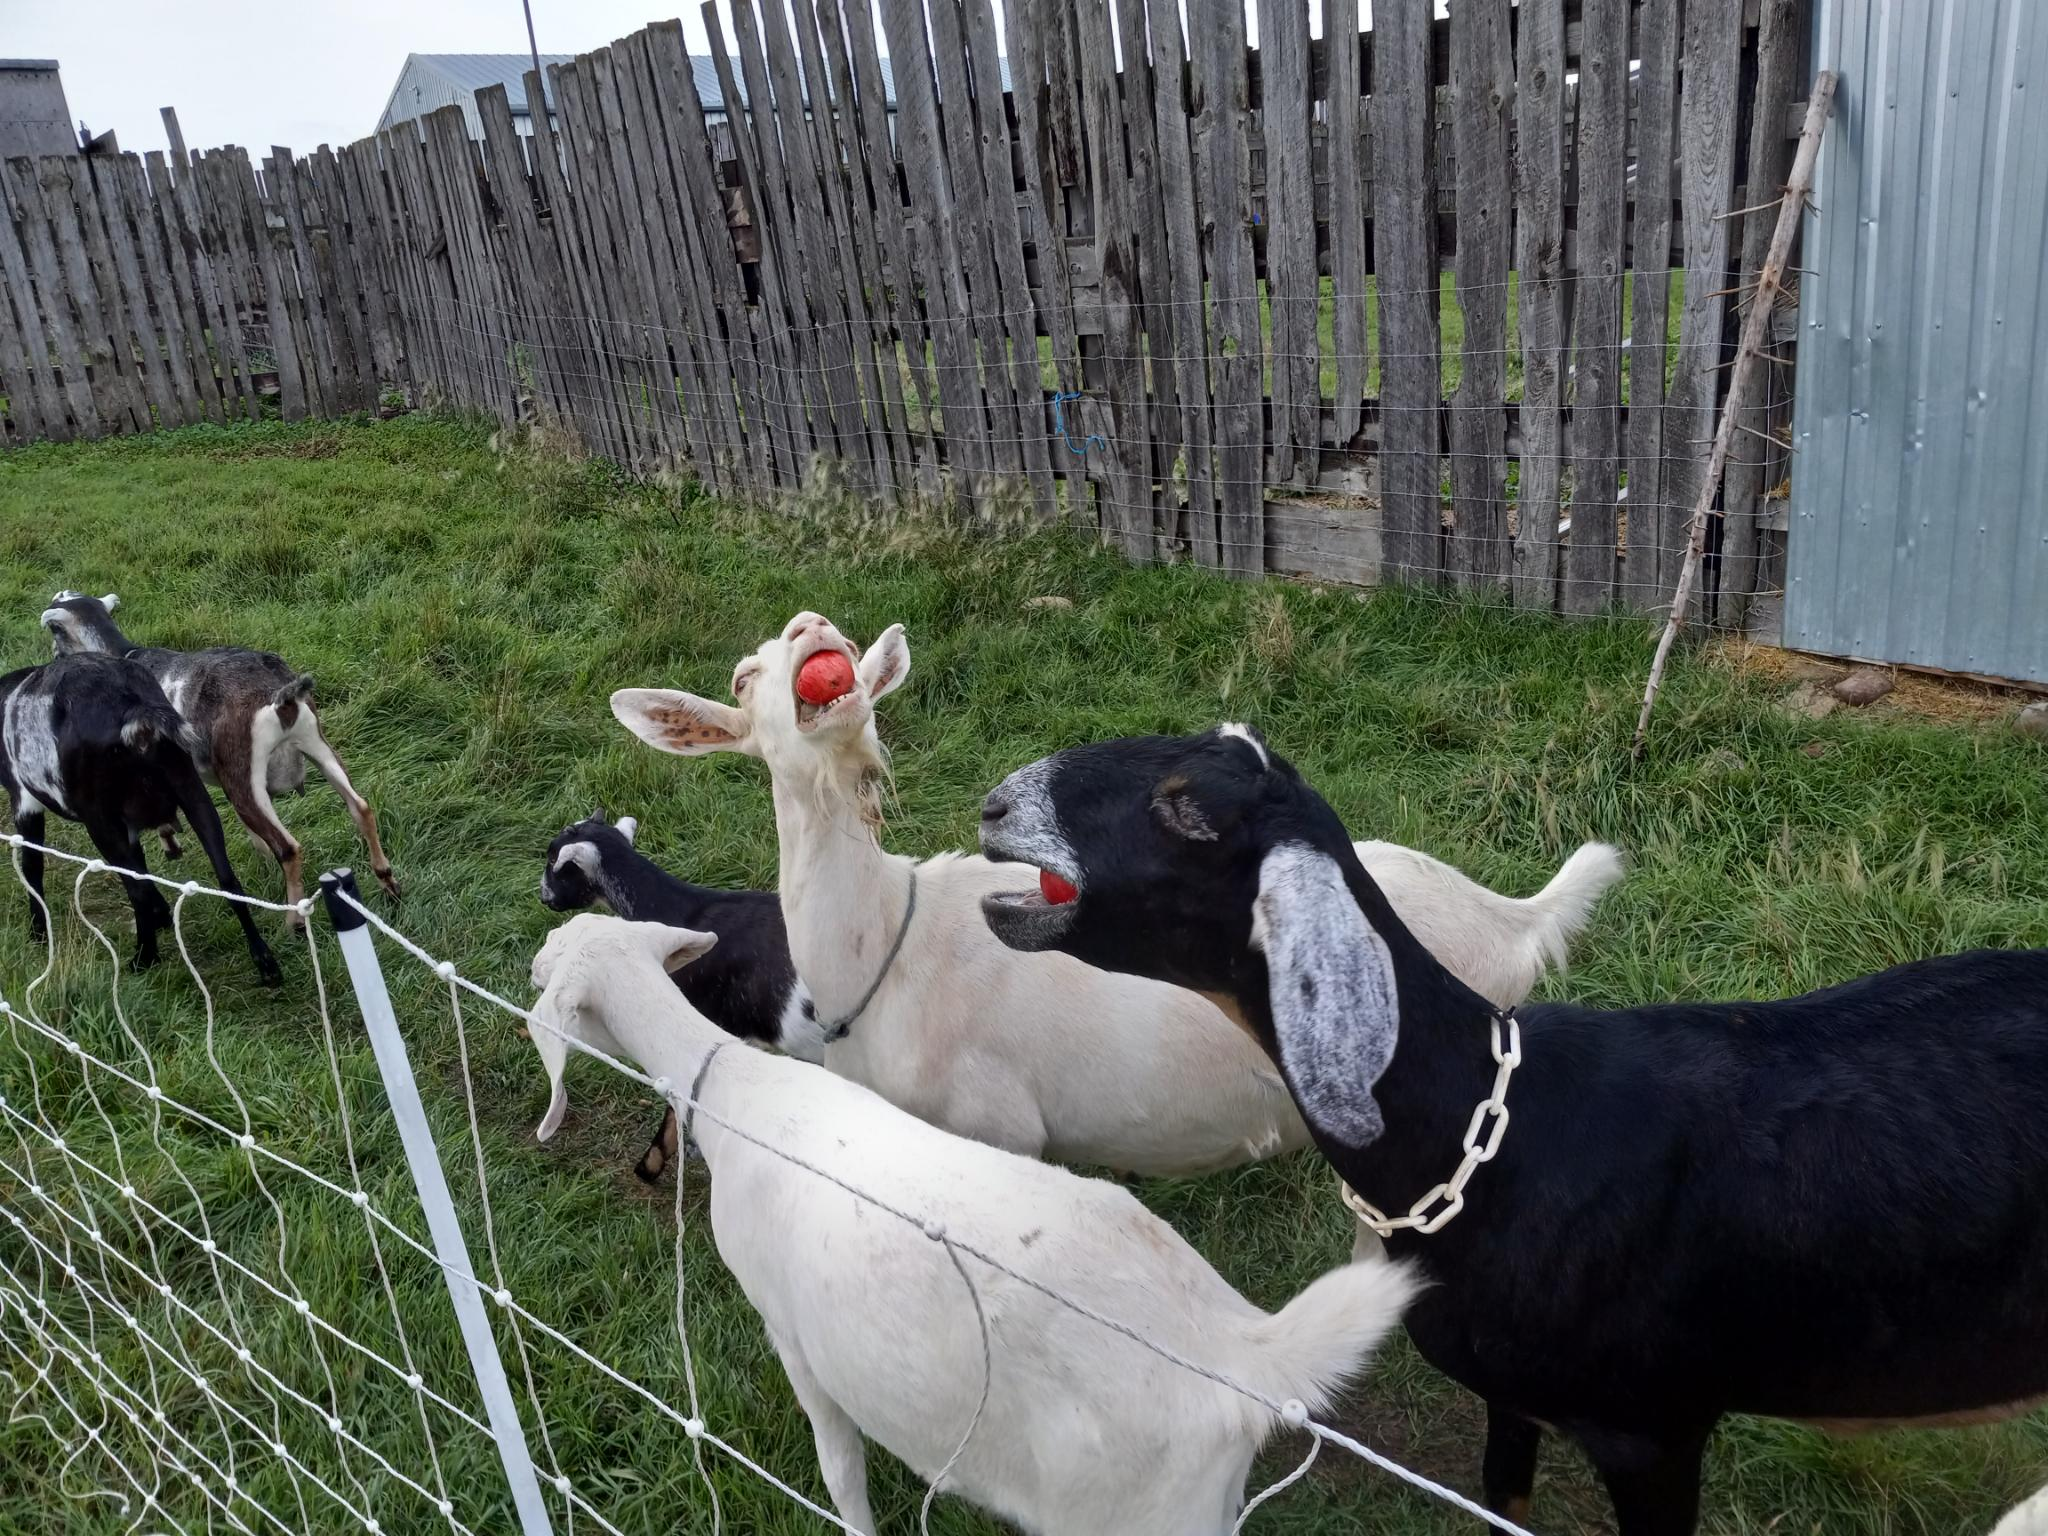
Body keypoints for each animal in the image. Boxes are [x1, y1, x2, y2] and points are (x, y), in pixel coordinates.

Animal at [0, 653, 279, 983]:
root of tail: (129, 705)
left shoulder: (25, 803)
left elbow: (32, 867)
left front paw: (38, 934)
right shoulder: (129, 825)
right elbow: (141, 864)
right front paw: (163, 916)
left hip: (99, 818)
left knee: (137, 891)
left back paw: (143, 959)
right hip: (191, 790)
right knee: (227, 879)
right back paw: (266, 964)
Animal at [42, 592, 396, 923]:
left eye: (55, 632)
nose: (52, 660)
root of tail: (278, 696)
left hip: (243, 773)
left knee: (288, 847)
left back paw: (294, 920)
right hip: (315, 743)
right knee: (360, 807)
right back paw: (388, 882)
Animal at [528, 913, 1418, 1536]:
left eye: (552, 955)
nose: (529, 960)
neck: (731, 1091)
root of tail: (1245, 1352)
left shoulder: (793, 1334)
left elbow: (839, 1467)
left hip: (1137, 1513)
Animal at [610, 612, 1622, 1188]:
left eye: (848, 649)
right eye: (742, 680)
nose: (813, 631)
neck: (886, 953)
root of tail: (1514, 921)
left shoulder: (999, 1131)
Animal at [975, 723, 2048, 1536]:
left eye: (1186, 808)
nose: (993, 806)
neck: (1492, 1136)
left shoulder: (1655, 1434)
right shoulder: (1512, 1401)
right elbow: (1505, 1504)